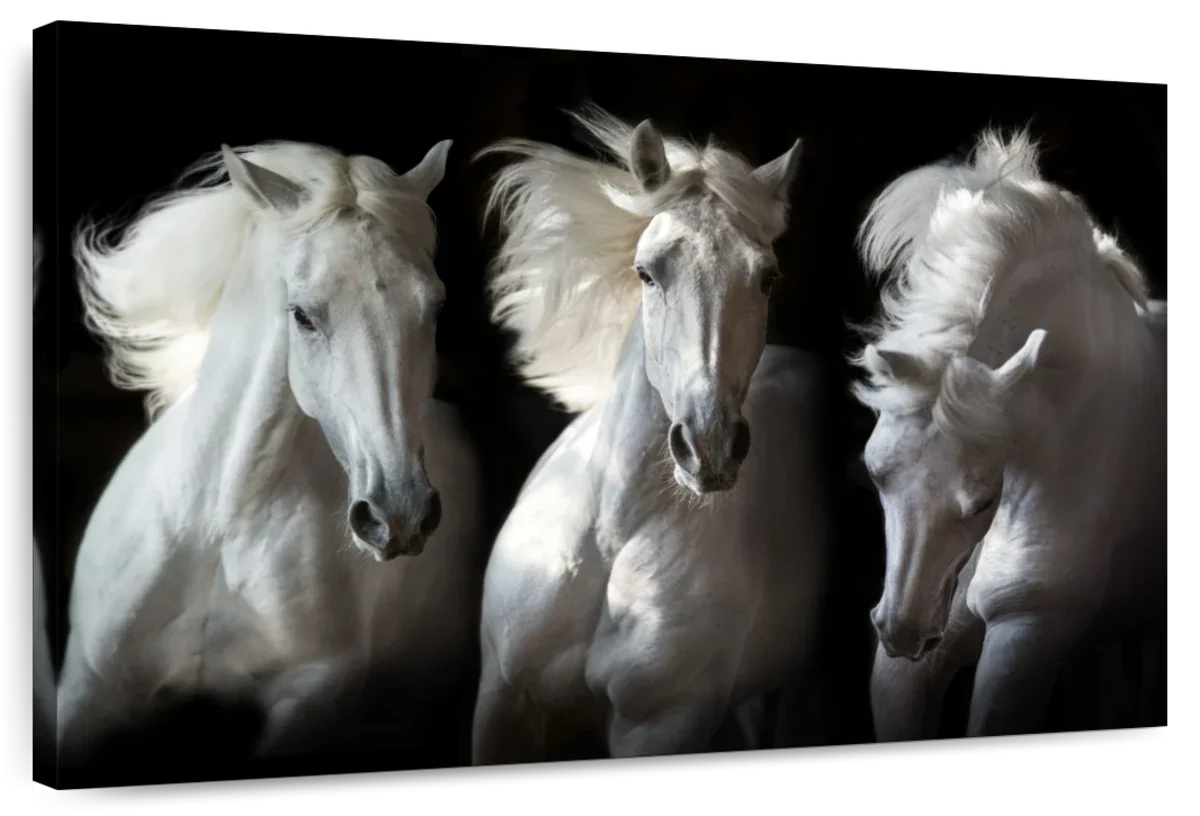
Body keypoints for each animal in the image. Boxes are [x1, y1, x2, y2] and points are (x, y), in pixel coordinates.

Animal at [57, 139, 485, 768]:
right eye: (302, 315)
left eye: (433, 309)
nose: (399, 514)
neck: (218, 525)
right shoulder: (89, 693)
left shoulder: (306, 705)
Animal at [470, 105, 831, 762]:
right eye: (646, 273)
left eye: (766, 278)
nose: (709, 445)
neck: (610, 536)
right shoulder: (503, 701)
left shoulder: (663, 725)